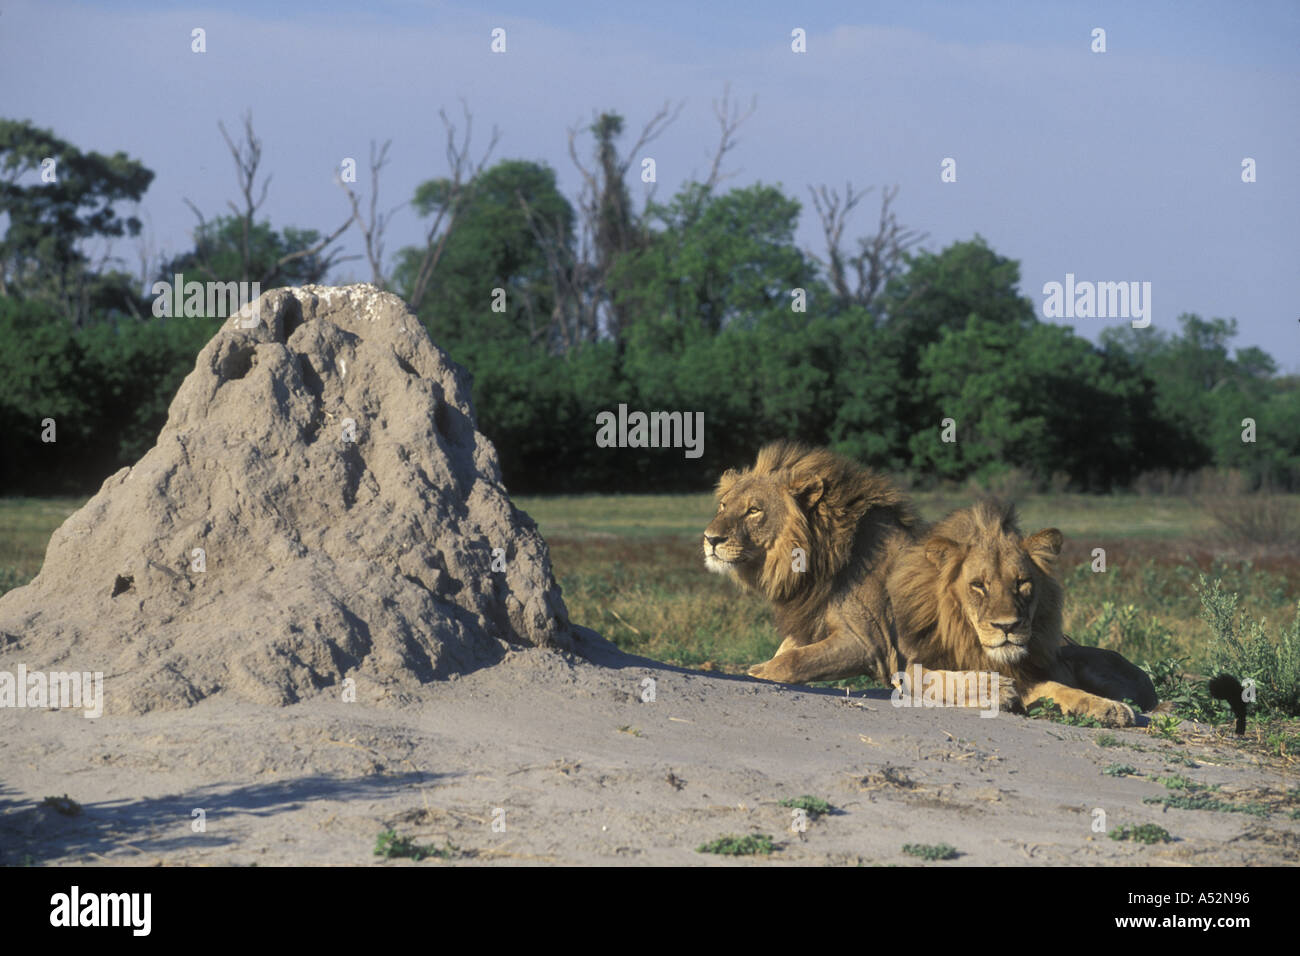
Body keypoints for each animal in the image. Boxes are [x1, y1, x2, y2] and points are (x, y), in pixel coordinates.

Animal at [702, 441, 919, 685]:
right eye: (723, 505)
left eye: (754, 510)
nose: (710, 538)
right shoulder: (812, 619)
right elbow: (784, 651)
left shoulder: (871, 643)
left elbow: (792, 661)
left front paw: (757, 672)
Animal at [887, 499, 1158, 727]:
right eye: (978, 585)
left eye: (1022, 582)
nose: (1007, 626)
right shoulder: (909, 666)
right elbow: (941, 677)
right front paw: (995, 689)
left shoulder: (1031, 676)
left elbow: (1060, 688)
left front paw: (1110, 708)